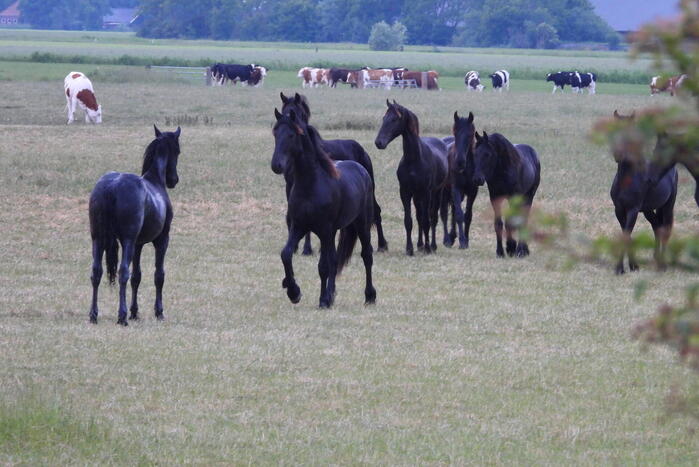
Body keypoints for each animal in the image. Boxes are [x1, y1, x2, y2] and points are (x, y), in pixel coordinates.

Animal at [88, 126, 181, 325]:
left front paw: (135, 312)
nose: (173, 180)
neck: (154, 181)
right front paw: (158, 312)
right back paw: (122, 316)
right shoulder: (161, 241)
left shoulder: (138, 244)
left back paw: (93, 315)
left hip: (98, 239)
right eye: (178, 151)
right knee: (123, 272)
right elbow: (158, 275)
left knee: (96, 272)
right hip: (127, 242)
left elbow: (136, 277)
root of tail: (111, 186)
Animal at [273, 108, 376, 308]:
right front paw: (293, 291)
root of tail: (361, 168)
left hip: (361, 224)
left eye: (291, 135)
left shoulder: (324, 230)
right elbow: (286, 254)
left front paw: (323, 300)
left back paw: (370, 296)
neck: (311, 185)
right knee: (335, 260)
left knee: (366, 255)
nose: (276, 165)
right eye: (275, 133)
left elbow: (323, 267)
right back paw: (332, 293)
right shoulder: (299, 227)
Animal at [276, 92, 388, 254]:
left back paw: (382, 245)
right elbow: (291, 217)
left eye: (299, 114)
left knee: (376, 212)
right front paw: (296, 246)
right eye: (284, 111)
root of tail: (361, 149)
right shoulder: (290, 187)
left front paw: (307, 248)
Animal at [374, 100, 449, 255]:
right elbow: (409, 221)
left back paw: (432, 246)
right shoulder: (405, 192)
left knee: (432, 217)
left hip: (436, 193)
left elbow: (427, 221)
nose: (379, 142)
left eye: (394, 119)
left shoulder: (426, 193)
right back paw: (419, 245)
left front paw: (427, 248)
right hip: (417, 196)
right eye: (384, 118)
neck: (414, 160)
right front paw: (409, 249)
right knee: (419, 217)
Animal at [610, 111, 678, 274]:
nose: (618, 154)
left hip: (668, 206)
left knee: (666, 229)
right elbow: (626, 235)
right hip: (648, 210)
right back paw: (656, 258)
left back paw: (663, 265)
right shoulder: (619, 210)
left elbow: (626, 234)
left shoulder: (633, 210)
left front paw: (620, 268)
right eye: (613, 131)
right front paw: (633, 266)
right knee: (657, 227)